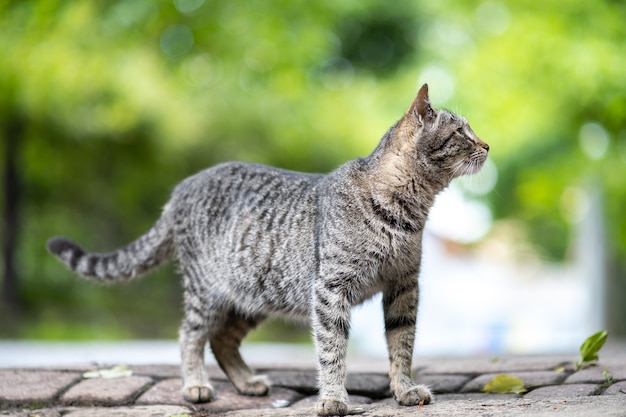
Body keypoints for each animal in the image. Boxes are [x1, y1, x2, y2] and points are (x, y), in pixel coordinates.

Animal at [47, 83, 488, 414]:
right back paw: (195, 385)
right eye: (461, 132)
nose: (486, 144)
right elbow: (332, 349)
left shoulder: (403, 287)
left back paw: (245, 382)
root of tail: (182, 189)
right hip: (209, 292)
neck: (407, 213)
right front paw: (333, 398)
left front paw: (404, 389)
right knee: (190, 335)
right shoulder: (330, 289)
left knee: (222, 340)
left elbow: (402, 344)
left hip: (252, 297)